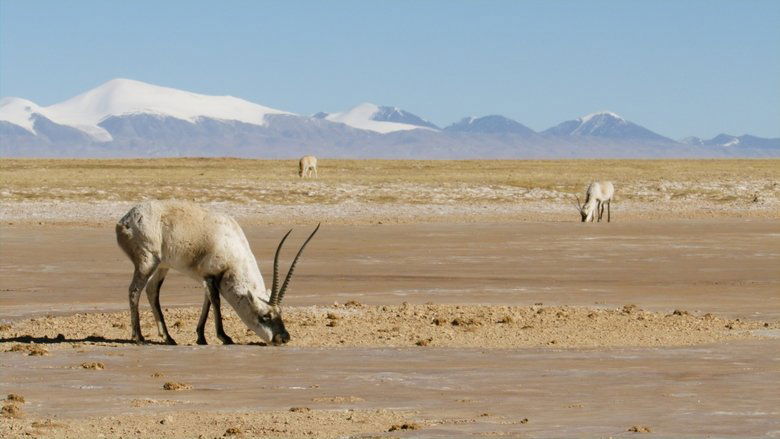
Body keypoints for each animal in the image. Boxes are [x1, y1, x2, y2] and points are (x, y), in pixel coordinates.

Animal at [115, 200, 319, 346]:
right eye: (265, 316)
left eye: (280, 313)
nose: (283, 338)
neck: (231, 244)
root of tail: (124, 220)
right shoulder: (210, 276)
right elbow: (216, 301)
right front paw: (224, 337)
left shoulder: (206, 278)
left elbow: (207, 302)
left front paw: (201, 337)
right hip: (147, 261)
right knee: (134, 291)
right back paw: (139, 337)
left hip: (162, 265)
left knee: (151, 291)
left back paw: (168, 338)